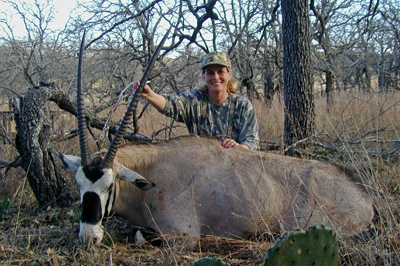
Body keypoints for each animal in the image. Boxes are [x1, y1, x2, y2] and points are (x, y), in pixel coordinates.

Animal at [57, 30, 374, 244]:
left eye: (110, 185)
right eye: (79, 184)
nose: (88, 237)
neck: (153, 172)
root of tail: (363, 195)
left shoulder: (181, 236)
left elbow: (141, 236)